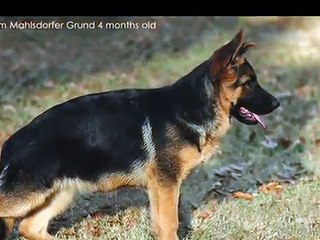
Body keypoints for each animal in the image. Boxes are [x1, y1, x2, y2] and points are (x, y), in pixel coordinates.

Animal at [0, 30, 278, 240]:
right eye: (250, 82)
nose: (277, 104)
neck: (193, 106)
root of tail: (12, 142)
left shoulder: (160, 187)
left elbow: (162, 223)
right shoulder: (166, 184)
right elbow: (170, 224)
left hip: (61, 192)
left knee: (29, 227)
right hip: (30, 195)